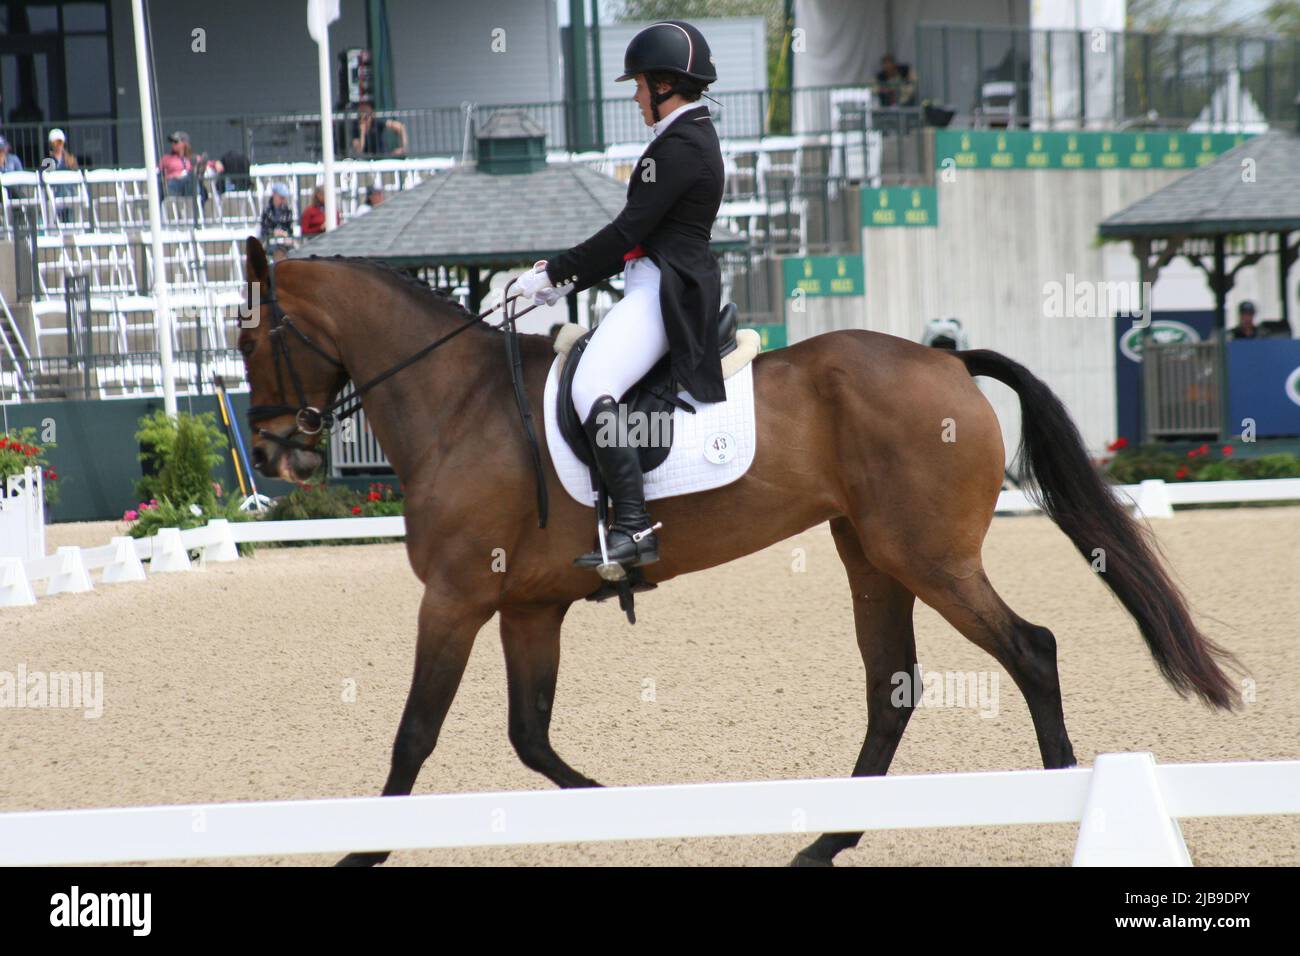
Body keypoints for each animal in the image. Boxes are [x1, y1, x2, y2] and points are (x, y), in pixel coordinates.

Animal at [239, 239, 1242, 868]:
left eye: (250, 340)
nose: (282, 453)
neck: (460, 403)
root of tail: (949, 363)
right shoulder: (527, 607)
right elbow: (530, 737)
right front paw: (626, 813)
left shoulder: (454, 598)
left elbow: (415, 734)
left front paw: (358, 851)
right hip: (872, 558)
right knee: (893, 687)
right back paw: (829, 839)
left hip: (929, 559)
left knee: (1030, 649)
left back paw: (1052, 800)